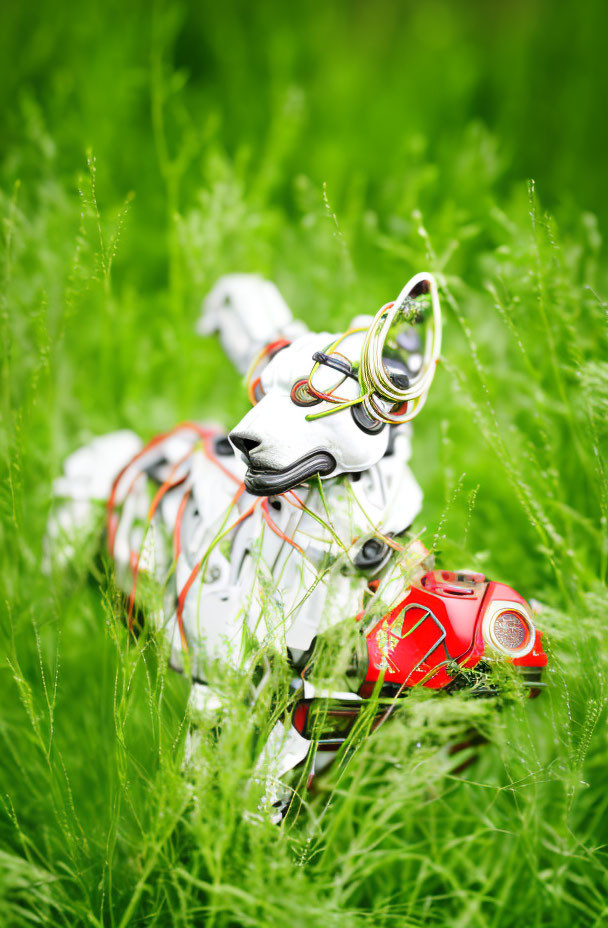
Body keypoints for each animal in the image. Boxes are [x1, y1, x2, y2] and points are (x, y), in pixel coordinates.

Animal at [47, 274, 548, 820]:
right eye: (258, 390)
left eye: (308, 393)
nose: (240, 440)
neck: (334, 556)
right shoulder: (232, 688)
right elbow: (222, 775)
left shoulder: (324, 698)